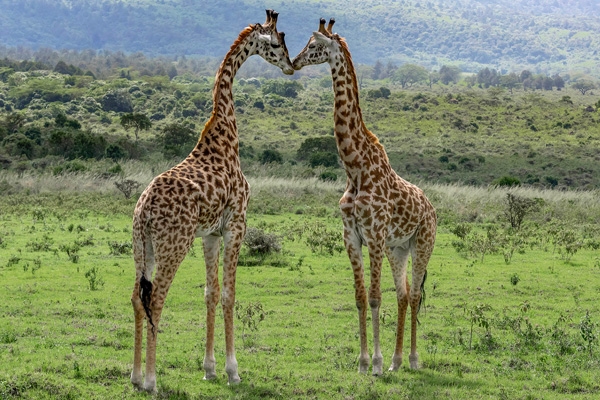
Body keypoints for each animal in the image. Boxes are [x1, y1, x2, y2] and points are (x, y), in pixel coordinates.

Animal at [130, 10, 294, 394]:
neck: (226, 138)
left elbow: (209, 293)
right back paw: (152, 380)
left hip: (141, 247)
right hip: (173, 244)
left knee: (136, 299)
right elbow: (229, 294)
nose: (291, 66)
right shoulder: (236, 224)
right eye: (277, 43)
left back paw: (134, 376)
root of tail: (143, 212)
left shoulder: (209, 235)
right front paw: (233, 371)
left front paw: (209, 368)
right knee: (155, 298)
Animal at [292, 18, 436, 376]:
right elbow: (359, 297)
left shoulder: (374, 235)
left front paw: (376, 363)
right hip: (398, 248)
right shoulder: (352, 236)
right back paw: (398, 362)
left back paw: (412, 360)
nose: (295, 62)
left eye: (314, 46)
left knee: (414, 295)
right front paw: (362, 362)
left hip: (422, 243)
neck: (354, 168)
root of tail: (431, 207)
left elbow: (374, 297)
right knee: (403, 294)